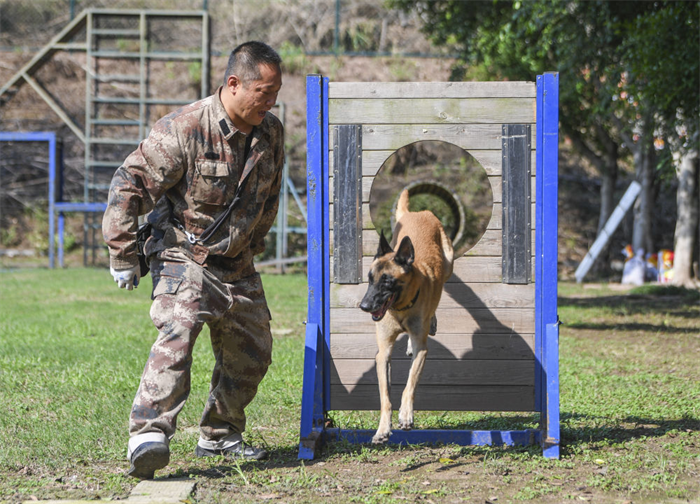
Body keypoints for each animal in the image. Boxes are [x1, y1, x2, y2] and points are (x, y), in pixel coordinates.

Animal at [360, 188, 454, 440]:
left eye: (387, 282)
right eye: (370, 279)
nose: (364, 306)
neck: (401, 309)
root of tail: (417, 213)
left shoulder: (422, 351)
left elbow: (410, 384)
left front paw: (405, 415)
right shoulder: (382, 354)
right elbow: (385, 396)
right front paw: (383, 428)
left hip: (449, 264)